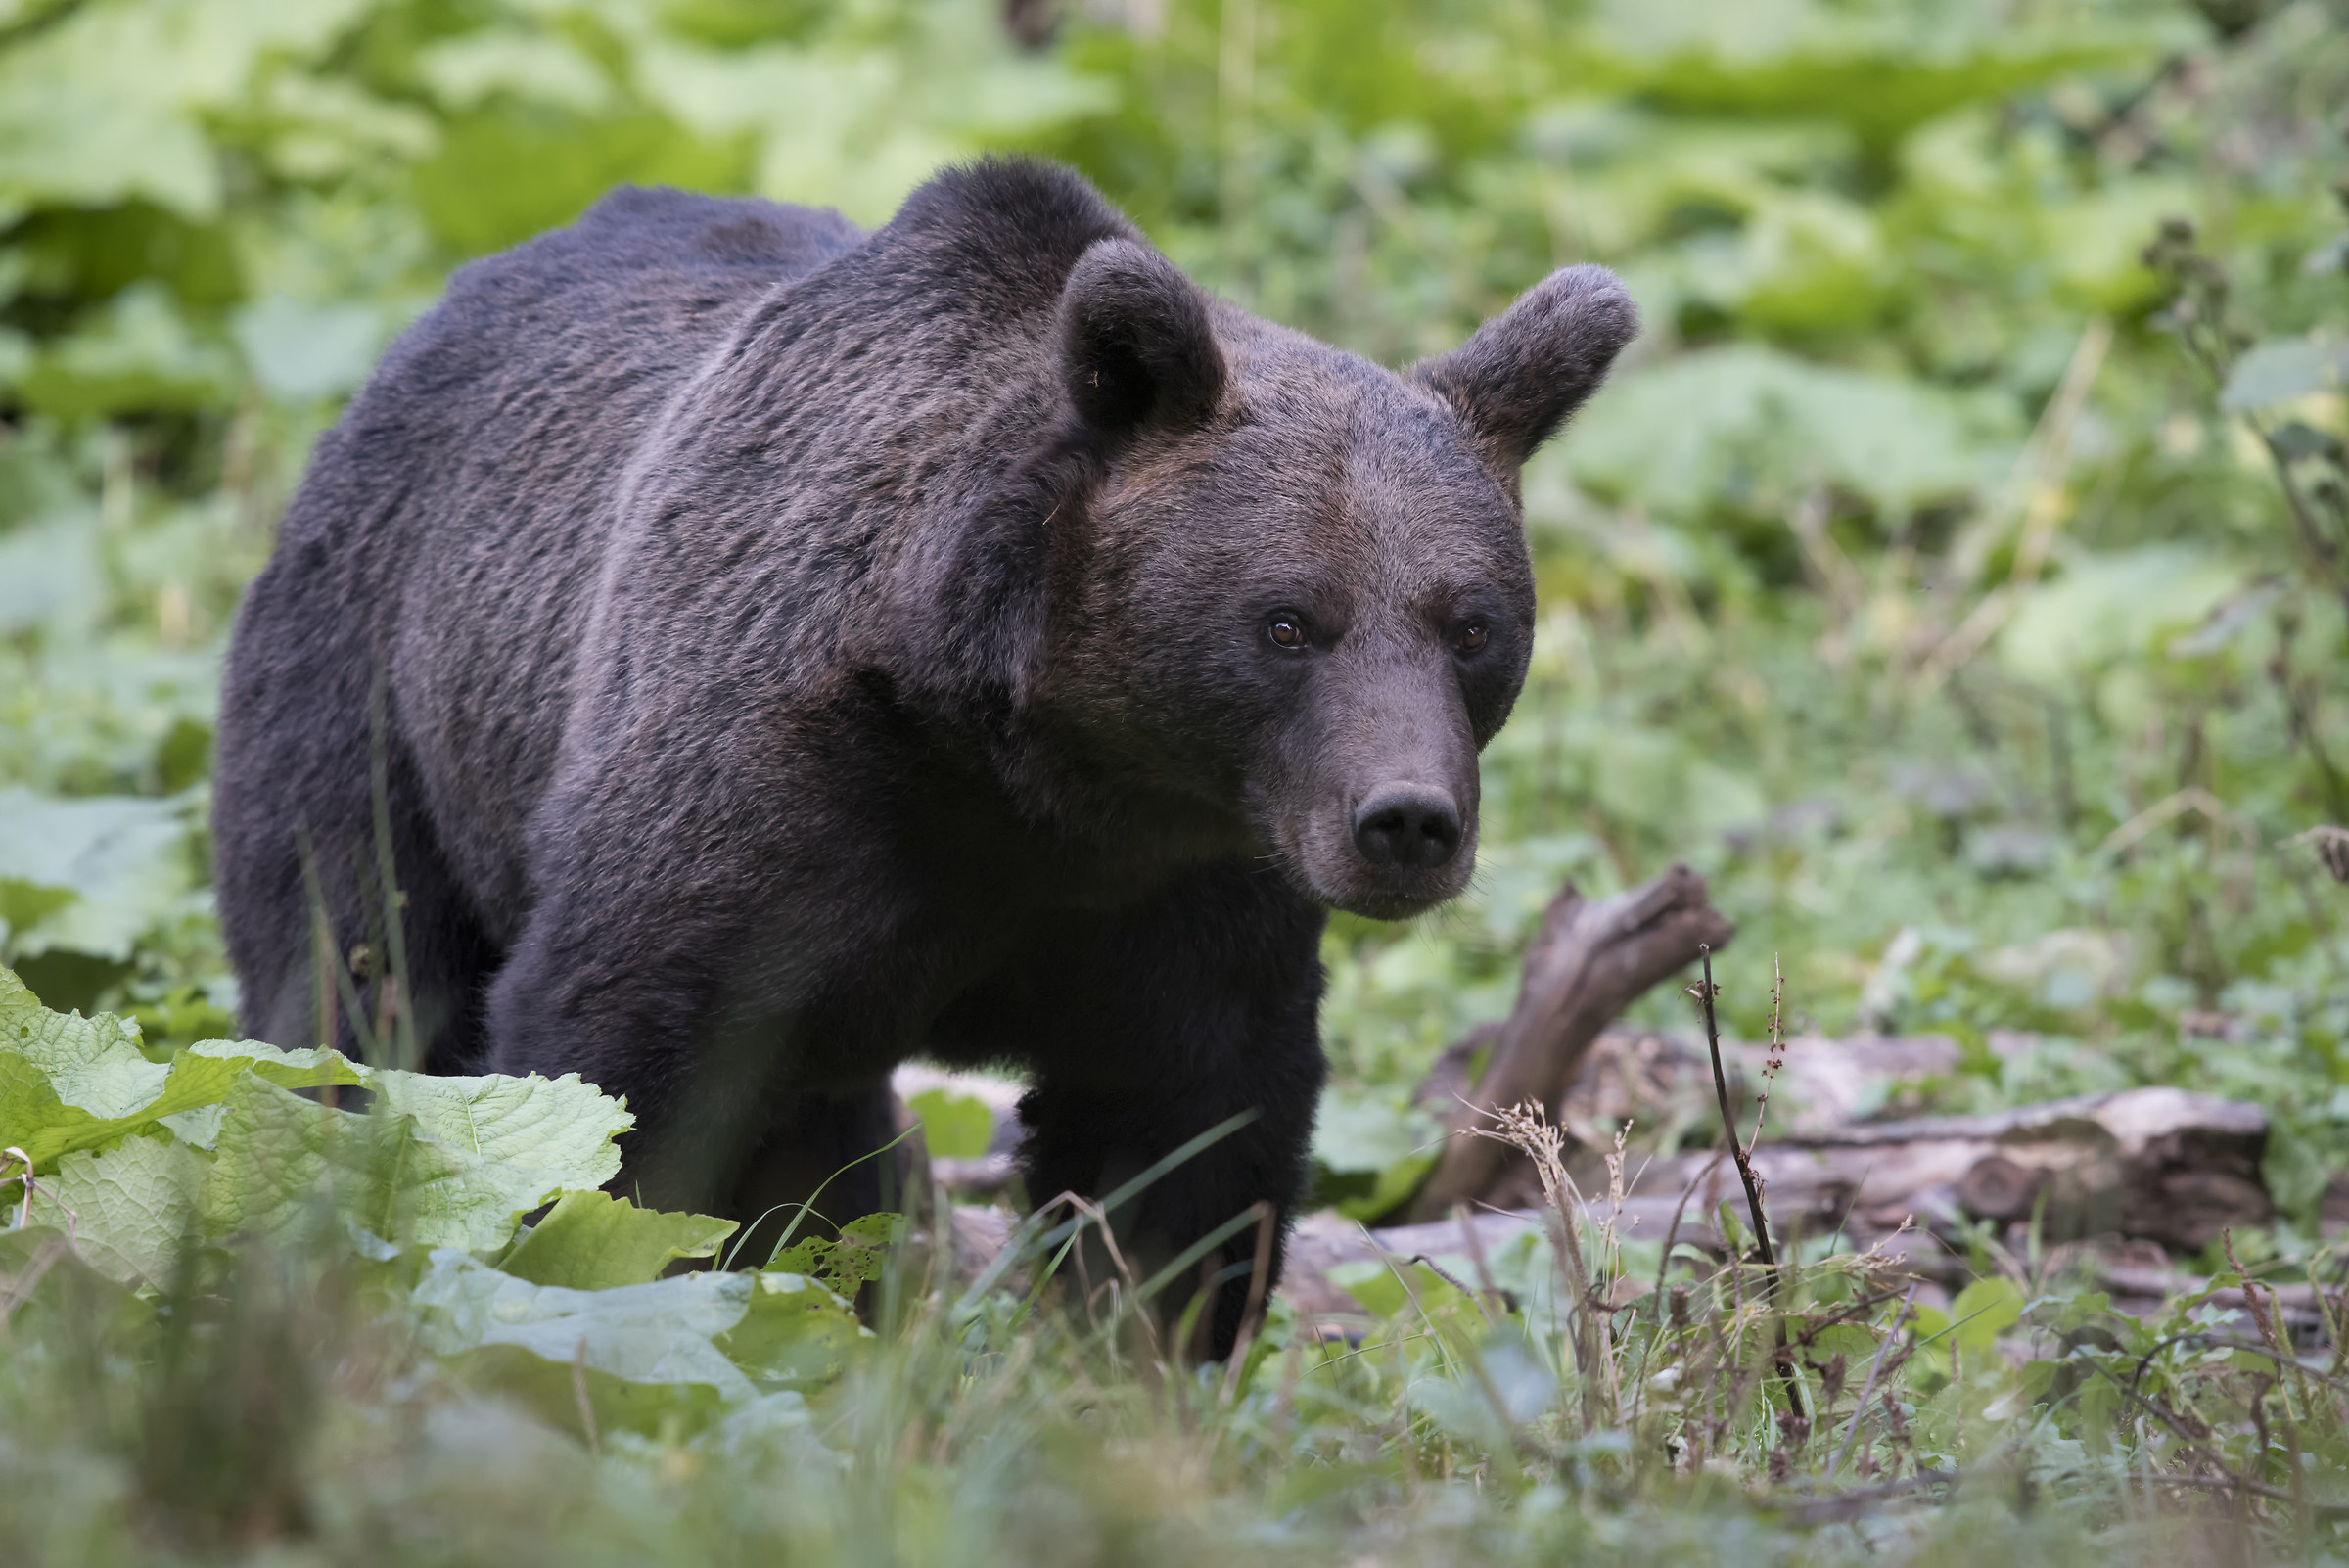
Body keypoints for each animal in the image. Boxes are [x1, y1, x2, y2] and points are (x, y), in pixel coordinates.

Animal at [211, 159, 1635, 1351]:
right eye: (1288, 620)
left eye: (1471, 624)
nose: (1407, 822)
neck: (1033, 761)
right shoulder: (765, 798)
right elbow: (610, 1075)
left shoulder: (1191, 888)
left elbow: (1185, 1137)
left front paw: (1134, 1361)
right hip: (378, 691)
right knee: (354, 990)